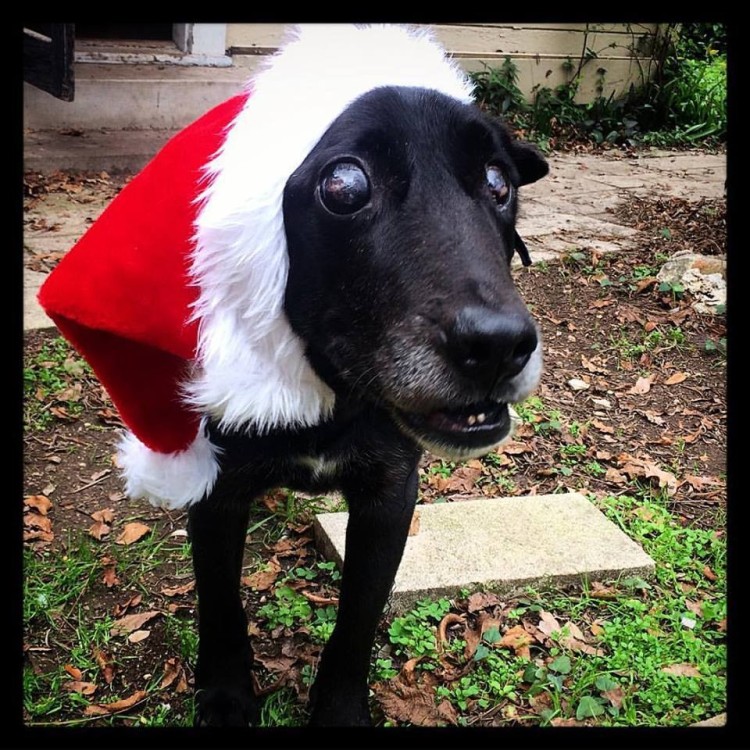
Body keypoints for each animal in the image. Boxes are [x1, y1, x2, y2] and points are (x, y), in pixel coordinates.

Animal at [191, 83, 548, 728]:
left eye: (497, 181)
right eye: (345, 186)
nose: (499, 345)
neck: (329, 397)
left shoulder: (390, 494)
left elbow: (358, 618)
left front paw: (338, 710)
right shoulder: (216, 492)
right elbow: (221, 604)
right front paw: (227, 697)